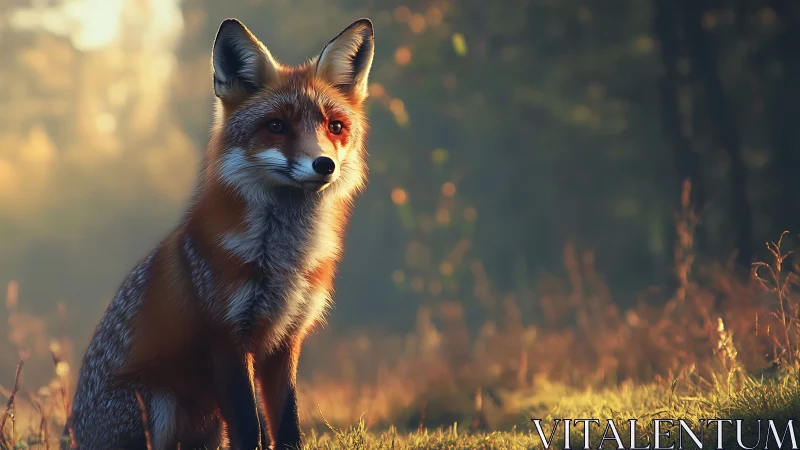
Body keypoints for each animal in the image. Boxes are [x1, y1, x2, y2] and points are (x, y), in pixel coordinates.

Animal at [62, 17, 374, 450]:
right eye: (276, 126)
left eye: (335, 126)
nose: (324, 164)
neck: (282, 263)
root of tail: (69, 431)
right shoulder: (226, 338)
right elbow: (249, 425)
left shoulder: (286, 341)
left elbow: (287, 424)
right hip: (157, 399)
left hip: (207, 427)